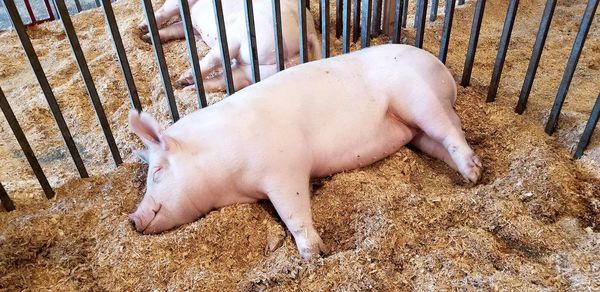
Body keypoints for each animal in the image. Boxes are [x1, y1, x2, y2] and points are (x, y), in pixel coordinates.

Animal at [127, 43, 482, 258]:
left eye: (157, 173)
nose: (133, 219)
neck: (230, 183)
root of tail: (441, 67)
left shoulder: (285, 167)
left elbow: (293, 211)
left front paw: (314, 254)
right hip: (415, 132)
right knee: (444, 139)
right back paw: (469, 174)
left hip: (420, 98)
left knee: (450, 130)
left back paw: (475, 174)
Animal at [139, 0, 324, 92]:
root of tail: (307, 33)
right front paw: (146, 35)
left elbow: (164, 14)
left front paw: (142, 27)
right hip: (256, 73)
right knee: (225, 80)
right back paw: (184, 87)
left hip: (239, 37)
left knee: (213, 60)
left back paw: (183, 79)